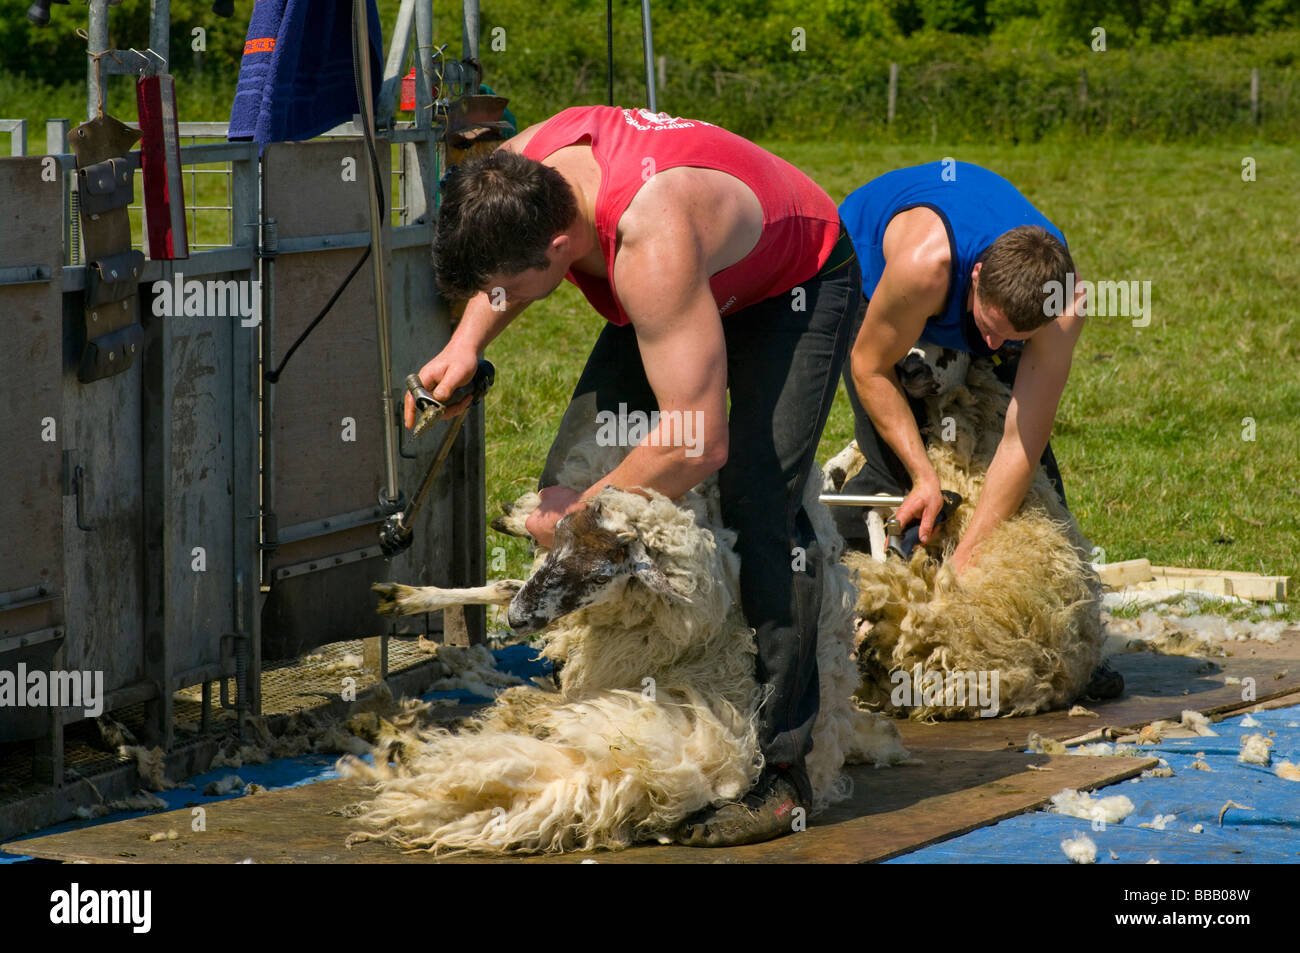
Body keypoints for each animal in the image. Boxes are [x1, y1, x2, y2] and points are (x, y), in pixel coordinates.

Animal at [341, 437, 908, 854]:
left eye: (600, 570)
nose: (519, 621)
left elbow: (509, 589)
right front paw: (409, 596)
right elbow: (505, 586)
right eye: (561, 539)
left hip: (597, 733)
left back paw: (393, 732)